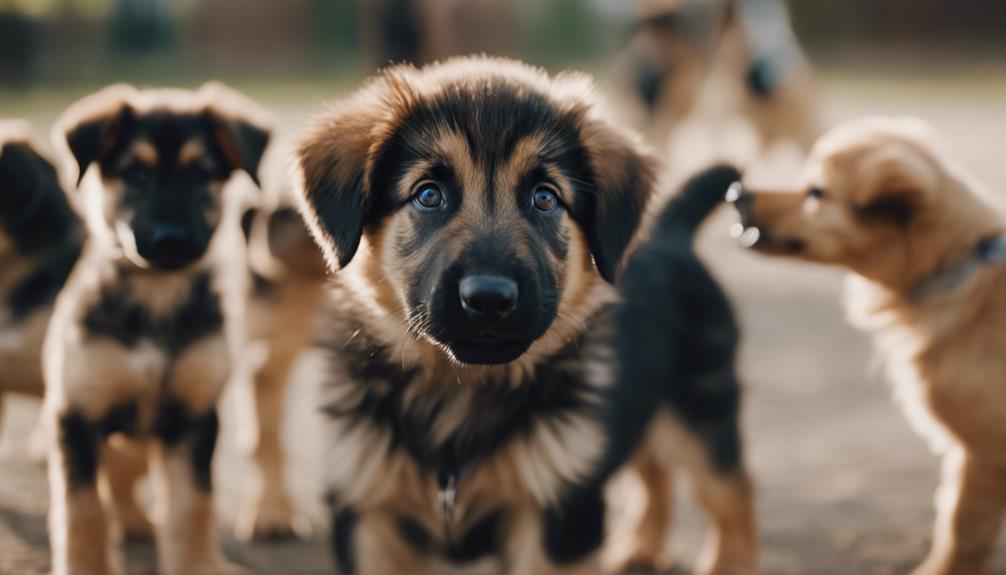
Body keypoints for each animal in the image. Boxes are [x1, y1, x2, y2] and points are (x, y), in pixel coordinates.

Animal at [43, 81, 271, 575]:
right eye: (135, 173)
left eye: (201, 173)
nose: (171, 241)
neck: (155, 299)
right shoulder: (76, 412)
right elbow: (83, 511)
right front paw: (87, 565)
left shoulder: (195, 417)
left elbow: (192, 507)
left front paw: (196, 565)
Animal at [291, 57, 756, 575]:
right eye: (428, 195)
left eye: (545, 197)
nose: (489, 298)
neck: (459, 391)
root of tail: (674, 233)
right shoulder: (372, 510)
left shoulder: (557, 512)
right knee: (655, 475)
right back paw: (640, 547)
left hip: (700, 410)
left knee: (733, 494)